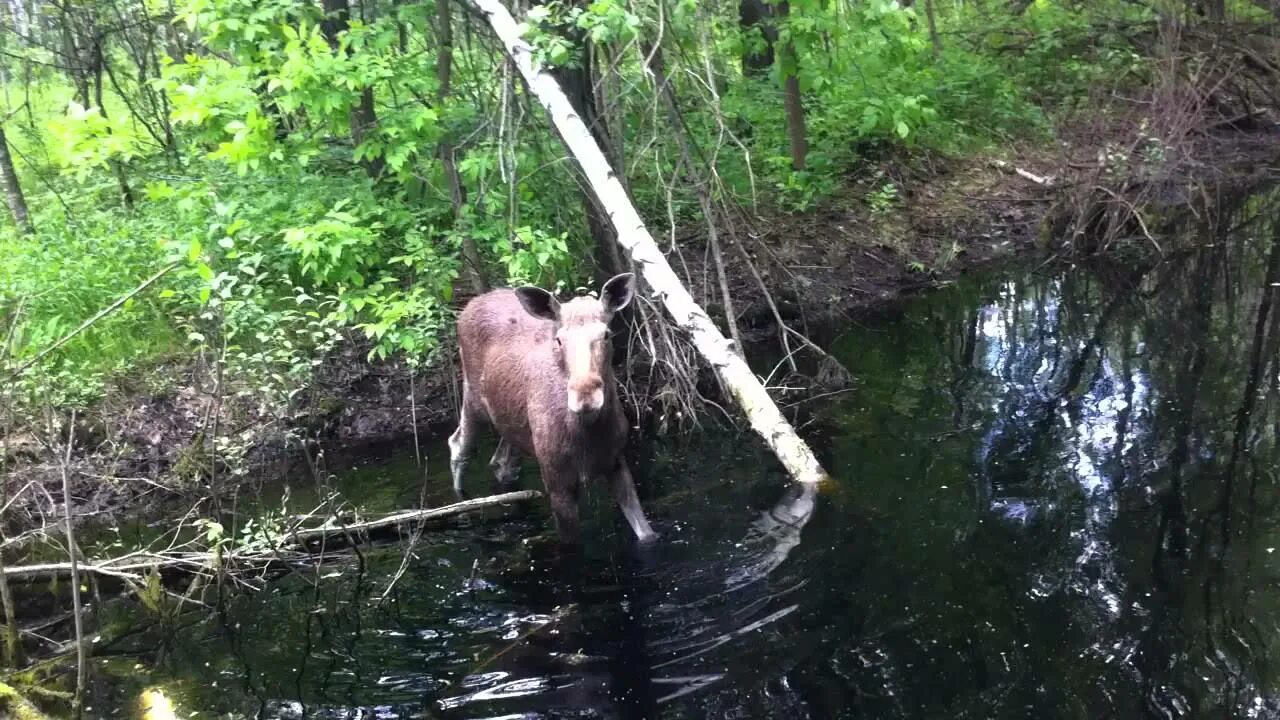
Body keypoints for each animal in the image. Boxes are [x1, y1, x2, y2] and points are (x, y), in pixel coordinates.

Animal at [448, 271, 660, 540]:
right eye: (559, 339)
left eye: (606, 334)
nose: (585, 395)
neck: (586, 434)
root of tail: (470, 304)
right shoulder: (556, 482)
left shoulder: (616, 463)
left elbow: (646, 533)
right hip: (473, 398)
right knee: (458, 446)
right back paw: (461, 505)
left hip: (511, 420)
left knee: (502, 461)